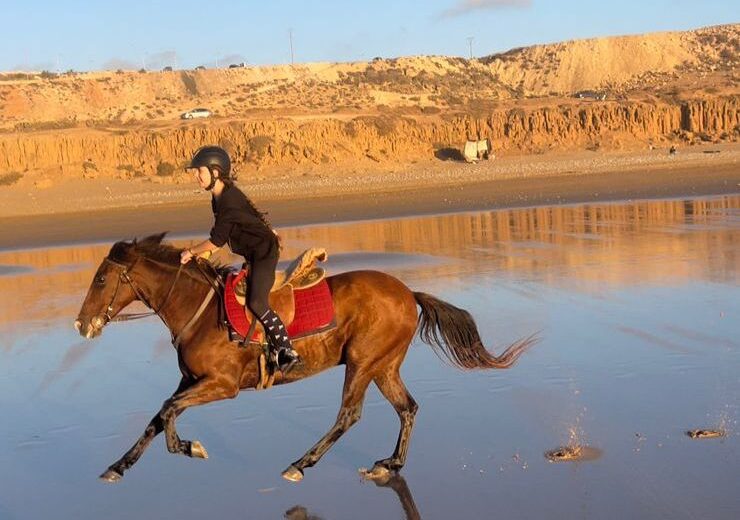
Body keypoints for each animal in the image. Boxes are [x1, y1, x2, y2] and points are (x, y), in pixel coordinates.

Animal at [74, 233, 536, 483]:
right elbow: (159, 414)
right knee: (408, 408)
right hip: (383, 366)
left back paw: (300, 463)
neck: (198, 308)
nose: (81, 324)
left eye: (101, 279)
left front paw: (189, 448)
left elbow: (168, 412)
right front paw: (119, 465)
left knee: (349, 415)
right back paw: (390, 464)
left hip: (362, 362)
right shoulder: (192, 381)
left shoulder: (222, 386)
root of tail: (408, 293)